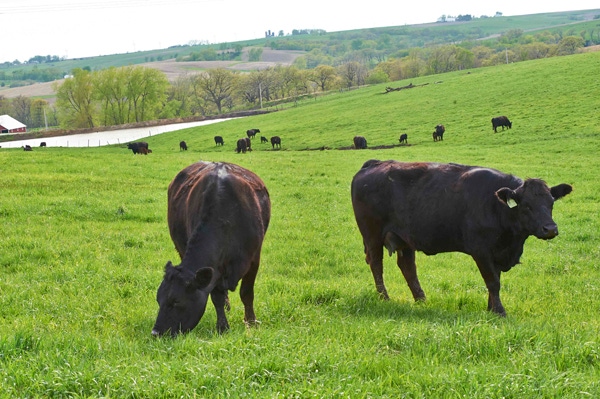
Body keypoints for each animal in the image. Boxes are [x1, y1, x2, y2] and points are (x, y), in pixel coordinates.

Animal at [151, 162, 270, 338]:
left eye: (176, 301)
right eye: (159, 299)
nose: (156, 332)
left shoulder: (254, 259)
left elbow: (247, 293)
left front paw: (251, 322)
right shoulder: (215, 268)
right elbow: (216, 297)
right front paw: (222, 327)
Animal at [352, 161, 572, 318]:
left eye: (551, 202)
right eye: (527, 205)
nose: (550, 229)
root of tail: (374, 164)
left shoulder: (497, 252)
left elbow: (495, 280)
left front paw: (491, 308)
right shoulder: (481, 251)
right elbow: (493, 281)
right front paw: (499, 312)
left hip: (405, 238)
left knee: (407, 267)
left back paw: (421, 299)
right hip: (372, 235)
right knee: (376, 264)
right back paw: (384, 298)